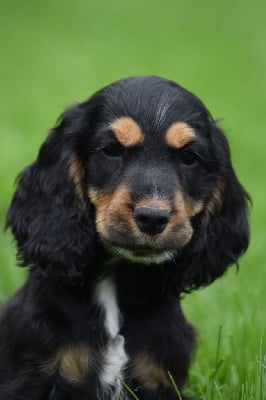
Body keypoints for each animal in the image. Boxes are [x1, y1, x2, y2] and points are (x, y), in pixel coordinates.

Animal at [0, 76, 249, 398]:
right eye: (111, 150)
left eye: (189, 157)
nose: (153, 217)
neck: (115, 281)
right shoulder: (35, 376)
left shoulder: (159, 377)